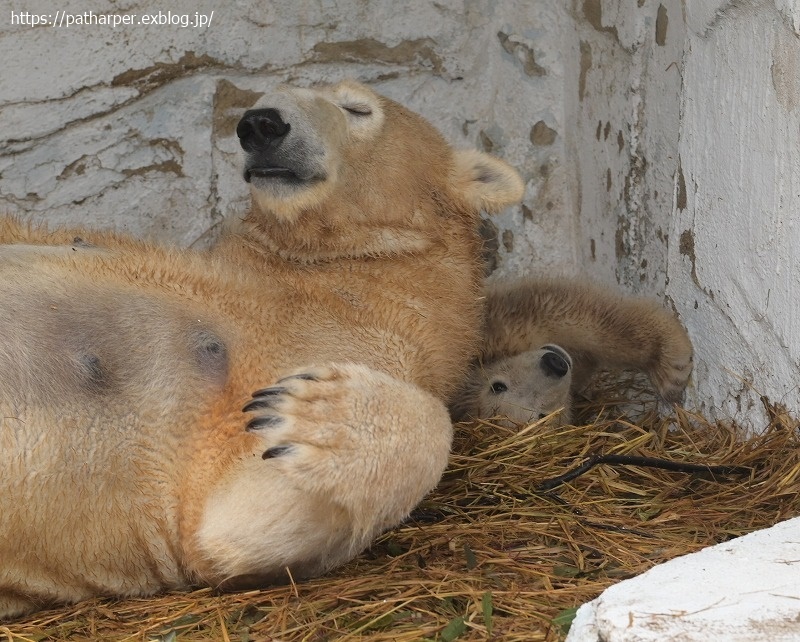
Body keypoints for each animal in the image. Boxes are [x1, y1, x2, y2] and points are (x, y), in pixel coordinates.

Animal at [0, 79, 688, 616]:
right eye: (264, 97)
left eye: (357, 107)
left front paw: (313, 415)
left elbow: (240, 526)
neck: (325, 275)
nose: (260, 124)